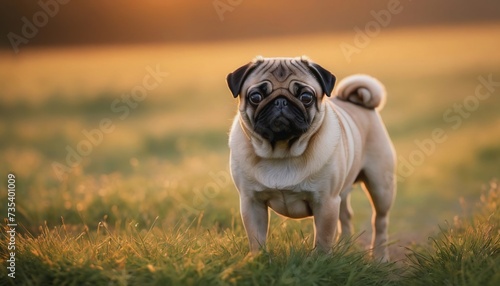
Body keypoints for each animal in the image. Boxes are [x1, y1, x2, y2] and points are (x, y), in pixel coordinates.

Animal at [229, 55, 396, 262]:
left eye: (306, 97)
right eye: (255, 97)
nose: (281, 102)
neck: (282, 152)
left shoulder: (326, 203)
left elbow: (323, 239)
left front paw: (321, 262)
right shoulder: (251, 202)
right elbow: (256, 239)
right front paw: (259, 261)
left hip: (380, 186)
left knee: (380, 221)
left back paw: (380, 256)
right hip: (343, 193)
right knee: (346, 216)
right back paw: (345, 247)